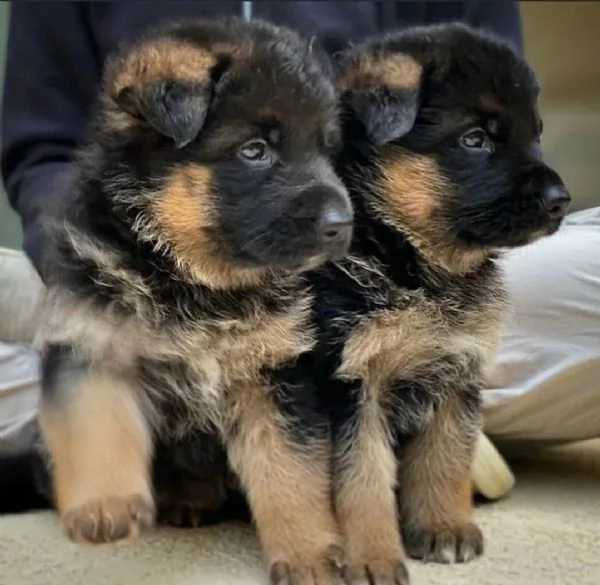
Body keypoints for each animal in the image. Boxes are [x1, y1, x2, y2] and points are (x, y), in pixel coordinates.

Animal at [37, 18, 352, 584]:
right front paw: (105, 504)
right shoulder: (89, 341)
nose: (344, 225)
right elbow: (97, 424)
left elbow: (291, 472)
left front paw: (309, 551)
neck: (185, 273)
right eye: (255, 150)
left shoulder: (275, 375)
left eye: (326, 148)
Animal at [304, 21, 572, 580]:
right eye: (475, 139)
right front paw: (373, 556)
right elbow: (361, 479)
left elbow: (446, 459)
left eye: (535, 132)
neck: (414, 264)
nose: (562, 200)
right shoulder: (351, 384)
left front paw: (444, 528)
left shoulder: (457, 372)